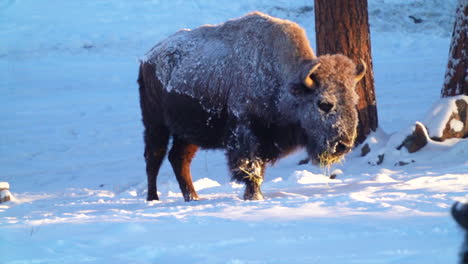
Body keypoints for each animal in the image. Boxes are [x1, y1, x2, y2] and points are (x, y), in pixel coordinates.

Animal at [139, 11, 366, 201]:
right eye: (324, 104)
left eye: (354, 100)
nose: (343, 145)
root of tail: (148, 58)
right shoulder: (245, 134)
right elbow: (250, 168)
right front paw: (254, 196)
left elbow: (259, 168)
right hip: (155, 124)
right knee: (154, 157)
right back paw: (153, 198)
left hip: (188, 133)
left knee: (178, 159)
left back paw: (193, 198)